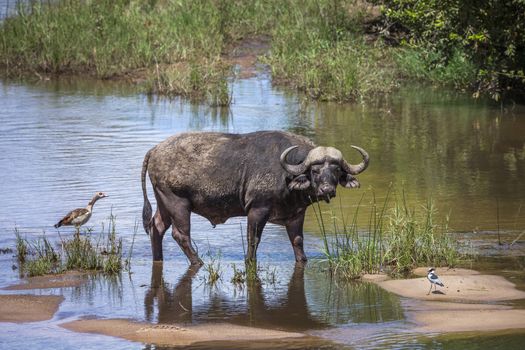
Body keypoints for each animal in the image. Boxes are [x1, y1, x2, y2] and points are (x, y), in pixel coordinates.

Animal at [141, 131, 366, 266]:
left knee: (156, 227)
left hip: (163, 203)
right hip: (177, 203)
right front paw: (250, 262)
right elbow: (253, 240)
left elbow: (298, 241)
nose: (327, 189)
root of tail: (155, 150)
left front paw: (303, 260)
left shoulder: (296, 215)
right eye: (315, 171)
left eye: (336, 170)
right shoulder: (257, 210)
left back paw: (158, 258)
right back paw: (198, 262)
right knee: (180, 235)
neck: (286, 174)